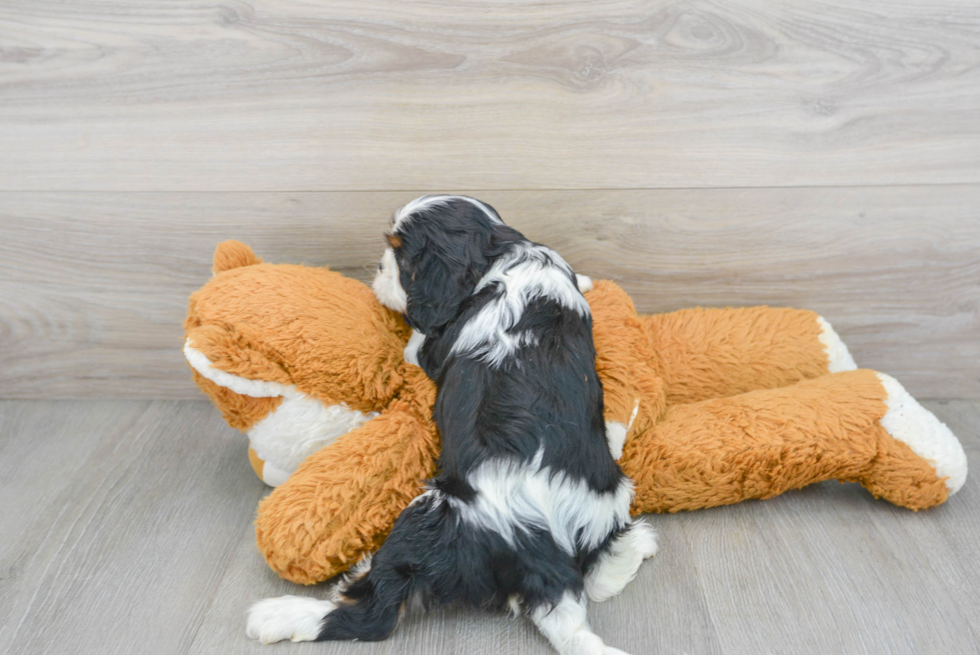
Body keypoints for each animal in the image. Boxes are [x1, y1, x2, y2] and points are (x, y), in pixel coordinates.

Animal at [247, 195, 660, 655]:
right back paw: (637, 546)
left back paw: (282, 613)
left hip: (426, 523)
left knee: (372, 610)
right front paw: (586, 279)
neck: (502, 253)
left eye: (401, 256)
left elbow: (416, 343)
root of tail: (543, 556)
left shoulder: (432, 347)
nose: (378, 268)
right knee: (602, 573)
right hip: (610, 496)